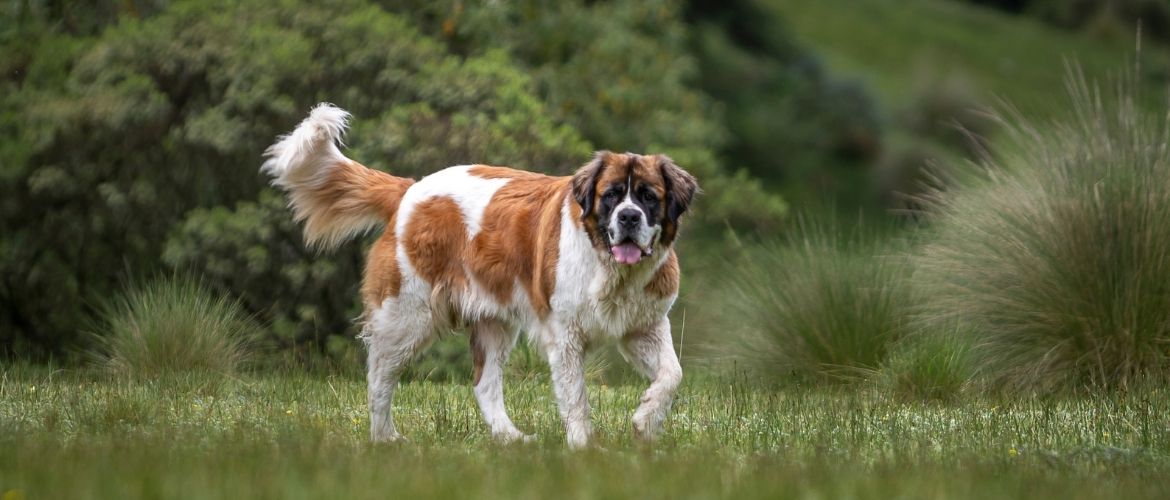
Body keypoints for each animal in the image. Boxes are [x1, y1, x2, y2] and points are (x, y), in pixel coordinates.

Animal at [263, 103, 692, 447]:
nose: (629, 217)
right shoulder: (565, 337)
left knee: (484, 384)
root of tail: (409, 190)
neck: (611, 269)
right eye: (611, 195)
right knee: (380, 377)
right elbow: (576, 398)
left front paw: (645, 422)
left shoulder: (645, 326)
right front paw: (585, 448)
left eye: (648, 197)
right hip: (407, 316)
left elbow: (672, 374)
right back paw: (385, 438)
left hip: (493, 322)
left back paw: (510, 438)